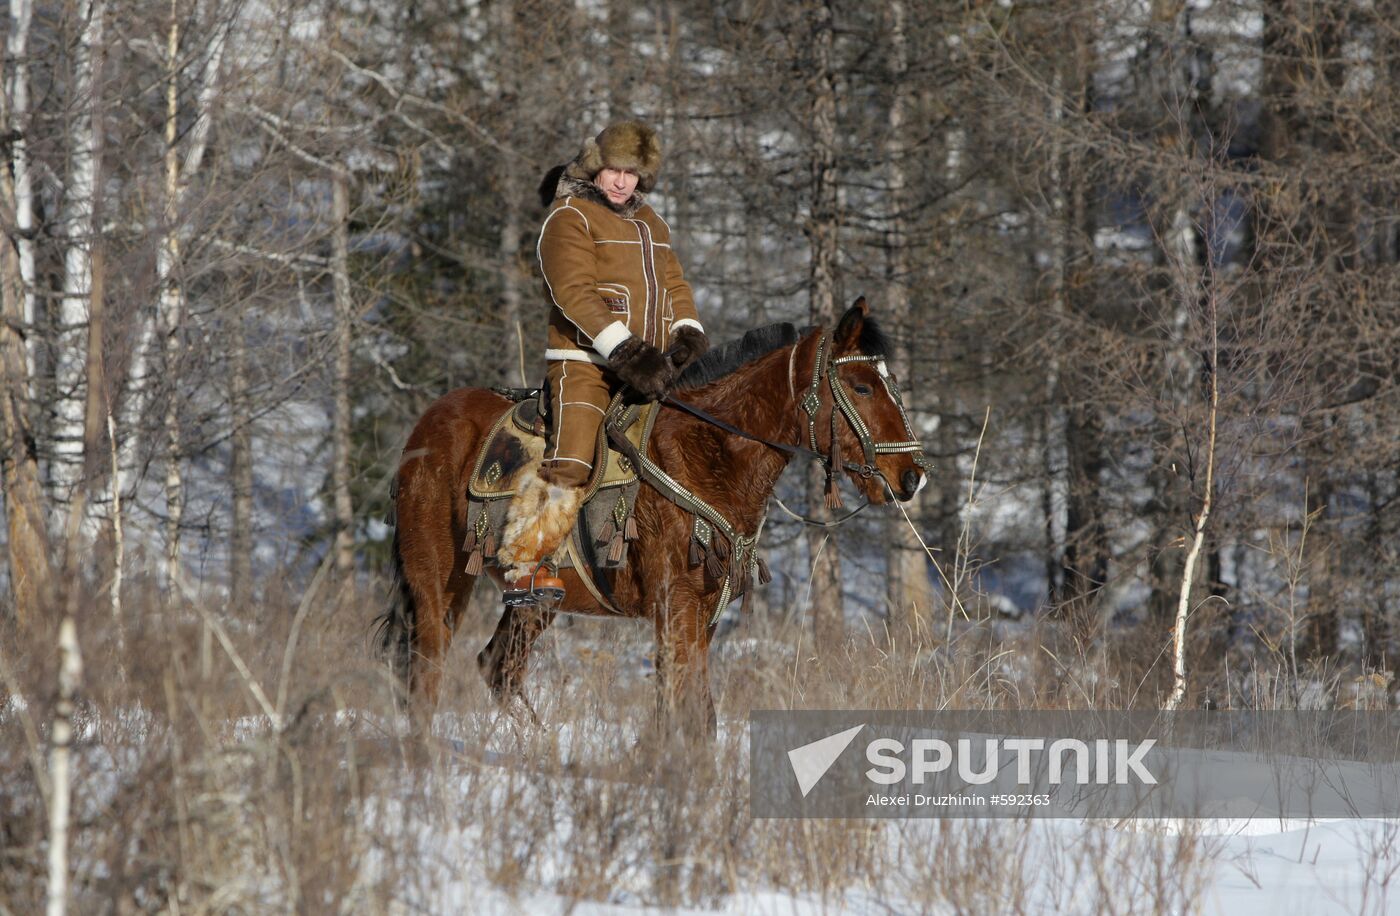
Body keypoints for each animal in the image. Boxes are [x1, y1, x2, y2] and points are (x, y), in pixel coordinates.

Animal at [378, 298, 929, 745]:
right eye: (862, 386)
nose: (912, 475)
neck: (707, 454)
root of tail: (422, 431)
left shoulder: (701, 616)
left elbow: (690, 713)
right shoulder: (676, 607)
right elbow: (688, 712)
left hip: (534, 602)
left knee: (498, 668)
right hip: (438, 584)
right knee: (426, 675)